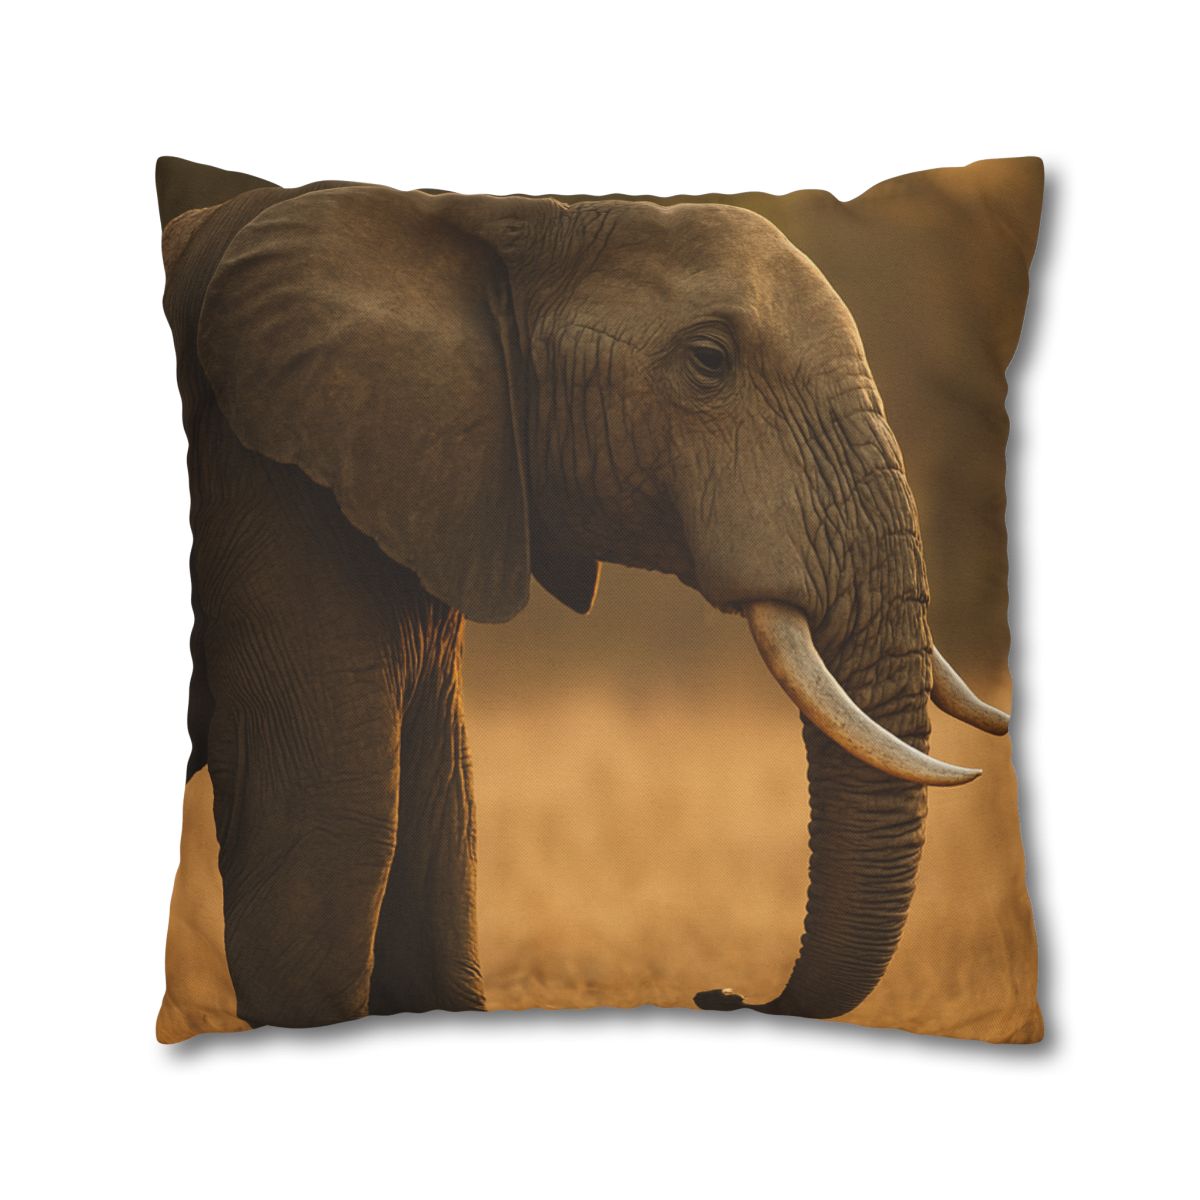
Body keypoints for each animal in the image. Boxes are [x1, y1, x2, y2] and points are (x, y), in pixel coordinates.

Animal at [158, 158, 1008, 1031]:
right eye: (710, 359)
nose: (724, 992)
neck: (508, 221)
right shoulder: (273, 493)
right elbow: (334, 830)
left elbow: (440, 825)